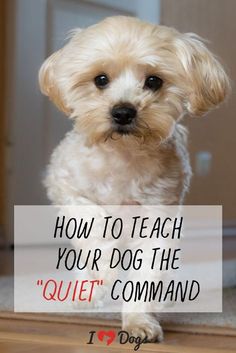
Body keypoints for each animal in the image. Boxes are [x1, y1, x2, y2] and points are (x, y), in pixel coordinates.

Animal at [39, 15, 230, 340]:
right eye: (100, 79)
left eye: (154, 81)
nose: (123, 112)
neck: (122, 155)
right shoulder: (64, 185)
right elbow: (93, 223)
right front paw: (103, 270)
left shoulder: (158, 220)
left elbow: (145, 276)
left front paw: (139, 321)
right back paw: (86, 291)